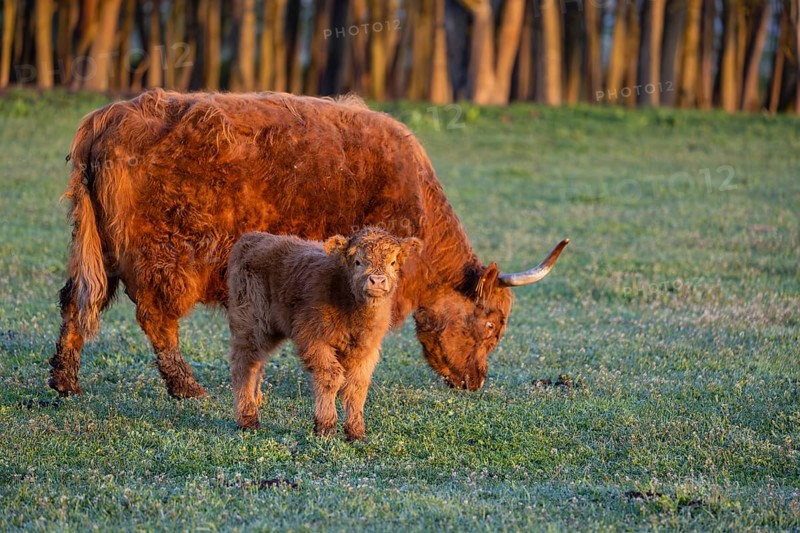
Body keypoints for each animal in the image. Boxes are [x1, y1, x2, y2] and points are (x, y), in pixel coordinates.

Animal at [50, 88, 568, 399]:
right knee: (155, 318)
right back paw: (187, 387)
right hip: (166, 256)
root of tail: (110, 114)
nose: (476, 381)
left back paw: (64, 381)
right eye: (491, 326)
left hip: (96, 250)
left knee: (76, 301)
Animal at [227, 227, 422, 439]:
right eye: (357, 261)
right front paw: (326, 426)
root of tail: (253, 237)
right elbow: (330, 377)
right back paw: (248, 418)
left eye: (393, 262)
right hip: (252, 323)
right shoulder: (314, 339)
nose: (377, 281)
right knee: (245, 362)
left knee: (257, 363)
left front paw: (356, 431)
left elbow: (357, 386)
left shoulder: (367, 350)